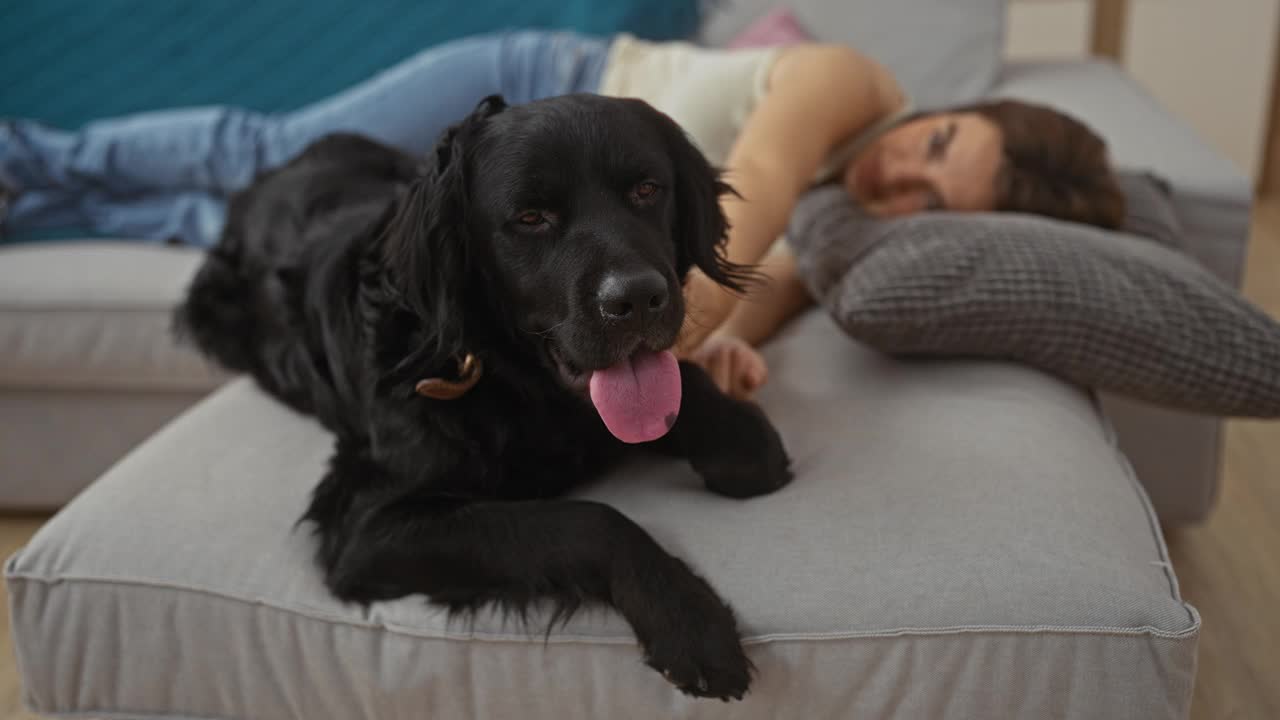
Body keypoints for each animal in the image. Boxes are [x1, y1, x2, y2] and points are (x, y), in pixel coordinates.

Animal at [177, 92, 788, 696]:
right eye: (531, 218)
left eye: (646, 189)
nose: (636, 297)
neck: (511, 376)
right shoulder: (366, 528)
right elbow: (587, 521)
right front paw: (687, 619)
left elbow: (690, 390)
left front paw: (738, 438)